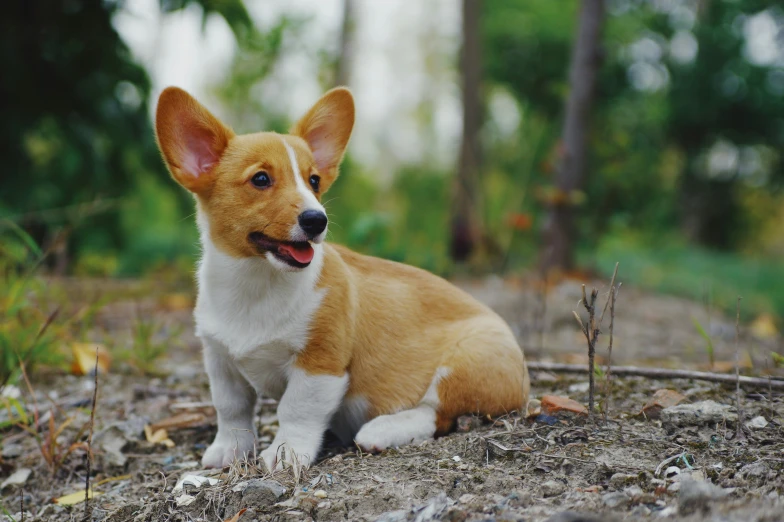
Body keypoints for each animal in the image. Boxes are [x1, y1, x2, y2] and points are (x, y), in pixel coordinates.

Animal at [155, 86, 528, 472]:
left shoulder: (320, 364)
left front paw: (285, 454)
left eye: (314, 181)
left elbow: (295, 410)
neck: (256, 282)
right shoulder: (220, 361)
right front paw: (229, 451)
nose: (316, 220)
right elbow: (231, 409)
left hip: (465, 363)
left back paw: (381, 431)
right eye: (260, 179)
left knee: (436, 414)